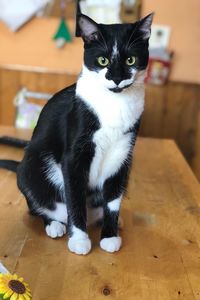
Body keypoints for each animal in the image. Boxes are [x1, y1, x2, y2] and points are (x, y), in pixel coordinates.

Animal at [0, 12, 152, 254]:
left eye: (131, 60)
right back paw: (54, 224)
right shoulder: (74, 155)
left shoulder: (123, 156)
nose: (117, 78)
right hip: (30, 169)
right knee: (37, 206)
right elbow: (75, 196)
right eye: (102, 60)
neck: (114, 105)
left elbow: (113, 200)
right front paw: (79, 239)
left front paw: (110, 235)